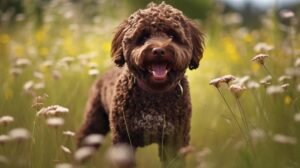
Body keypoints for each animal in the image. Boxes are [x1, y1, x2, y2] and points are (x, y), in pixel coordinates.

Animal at [76, 1, 205, 168]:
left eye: (172, 35)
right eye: (144, 36)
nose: (158, 51)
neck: (155, 94)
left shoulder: (175, 141)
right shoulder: (123, 140)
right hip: (95, 121)